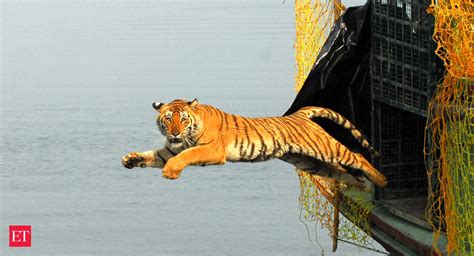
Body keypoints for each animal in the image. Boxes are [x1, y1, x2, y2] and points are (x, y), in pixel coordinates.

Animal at [120, 98, 386, 188]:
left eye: (182, 119)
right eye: (168, 119)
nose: (174, 133)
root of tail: (299, 114)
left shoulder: (212, 150)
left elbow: (185, 156)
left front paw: (171, 172)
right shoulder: (168, 150)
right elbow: (152, 155)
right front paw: (130, 159)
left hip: (325, 148)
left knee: (356, 156)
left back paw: (382, 180)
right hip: (308, 161)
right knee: (339, 171)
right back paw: (361, 185)